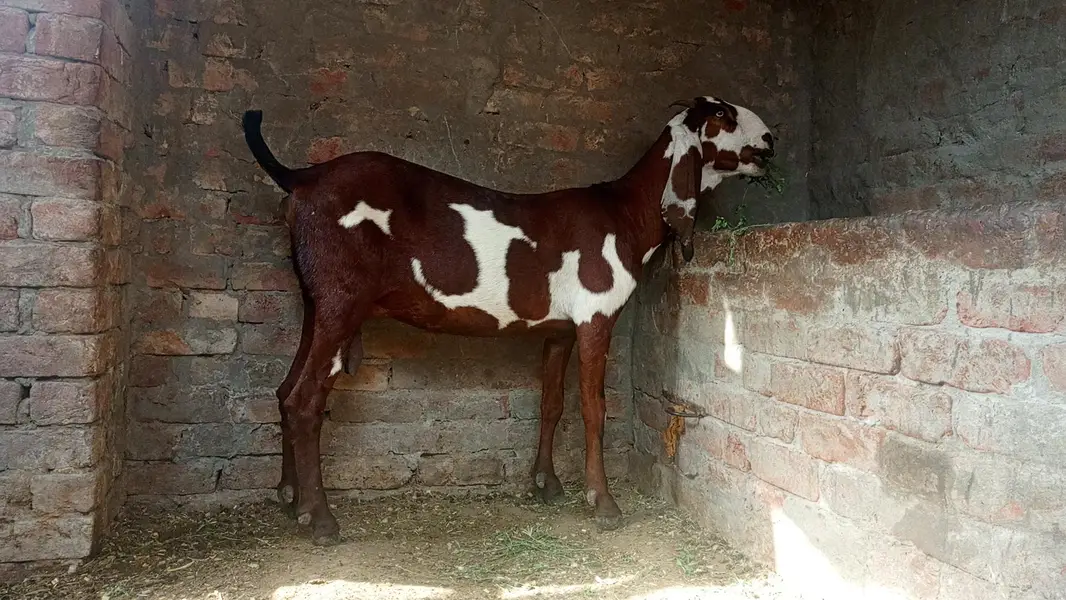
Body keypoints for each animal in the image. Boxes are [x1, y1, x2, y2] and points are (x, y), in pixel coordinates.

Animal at [241, 96, 776, 545]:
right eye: (723, 114)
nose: (770, 141)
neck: (623, 212)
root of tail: (303, 178)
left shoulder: (560, 331)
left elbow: (552, 403)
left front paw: (546, 484)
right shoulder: (596, 317)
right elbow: (594, 408)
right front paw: (603, 503)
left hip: (317, 302)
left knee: (285, 391)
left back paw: (291, 501)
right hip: (342, 300)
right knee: (306, 399)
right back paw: (321, 521)